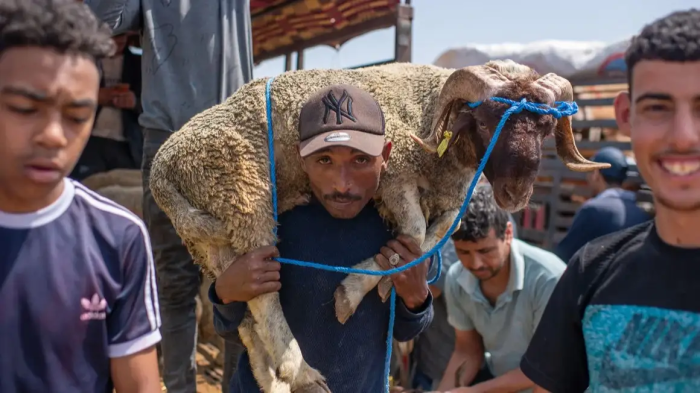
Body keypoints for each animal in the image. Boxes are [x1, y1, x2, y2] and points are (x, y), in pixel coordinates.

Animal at [148, 59, 608, 390]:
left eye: (545, 128)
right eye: (484, 121)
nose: (516, 194)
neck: (431, 116)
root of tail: (162, 166)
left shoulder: (450, 201)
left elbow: (428, 242)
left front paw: (385, 280)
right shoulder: (395, 172)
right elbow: (416, 232)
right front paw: (354, 291)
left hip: (211, 230)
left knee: (244, 315)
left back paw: (272, 377)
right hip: (243, 191)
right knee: (263, 296)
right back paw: (300, 371)